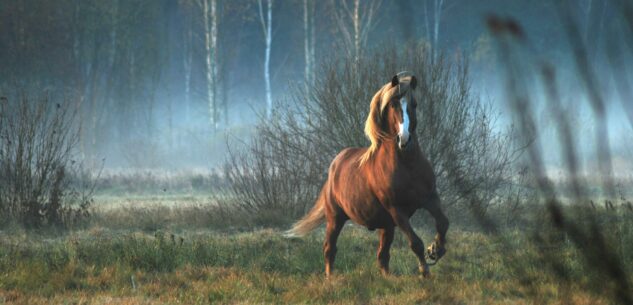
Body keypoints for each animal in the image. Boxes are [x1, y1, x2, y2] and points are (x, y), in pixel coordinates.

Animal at [286, 73, 450, 276]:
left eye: (415, 104)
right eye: (393, 104)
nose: (404, 139)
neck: (408, 165)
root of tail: (335, 165)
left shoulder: (429, 198)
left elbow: (443, 223)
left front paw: (436, 250)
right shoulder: (397, 210)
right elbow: (416, 243)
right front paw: (425, 271)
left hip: (386, 226)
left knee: (382, 256)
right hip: (335, 218)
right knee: (330, 249)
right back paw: (330, 278)